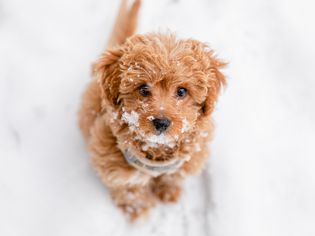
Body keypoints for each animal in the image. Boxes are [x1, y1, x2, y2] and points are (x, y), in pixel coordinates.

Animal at [79, 0, 227, 221]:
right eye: (143, 89)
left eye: (182, 91)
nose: (161, 122)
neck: (157, 150)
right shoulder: (112, 158)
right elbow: (129, 187)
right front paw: (138, 209)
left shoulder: (189, 156)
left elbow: (173, 176)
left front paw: (169, 191)